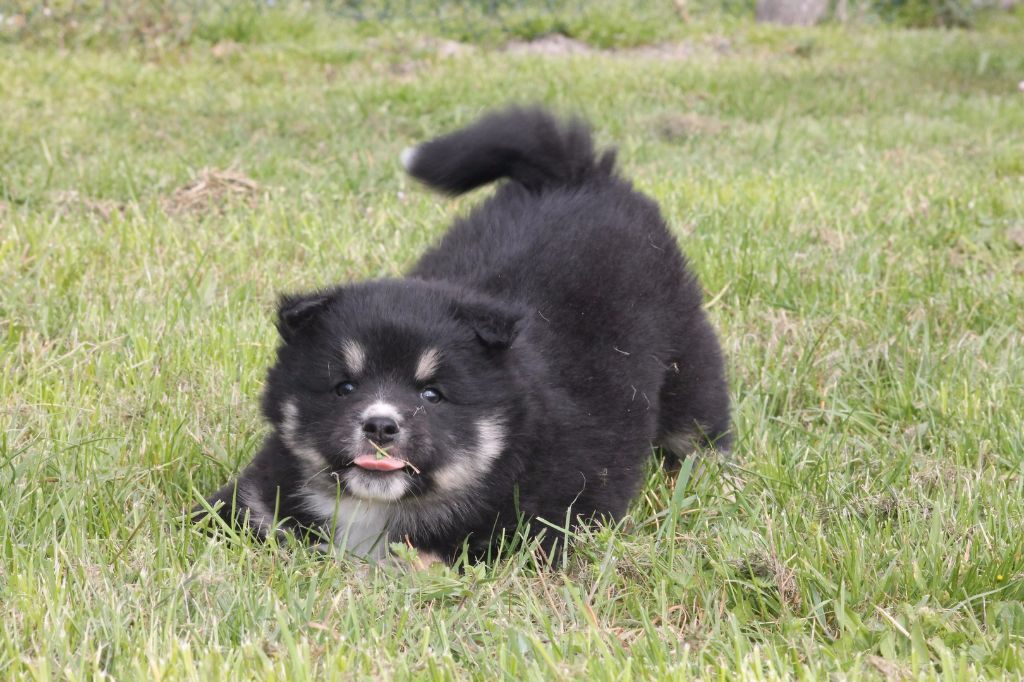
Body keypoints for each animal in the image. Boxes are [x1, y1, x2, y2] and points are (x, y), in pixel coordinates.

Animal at [195, 106, 729, 561]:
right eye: (344, 387)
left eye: (432, 395)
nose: (381, 426)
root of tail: (579, 176)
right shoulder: (252, 502)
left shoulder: (536, 527)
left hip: (686, 360)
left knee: (699, 425)